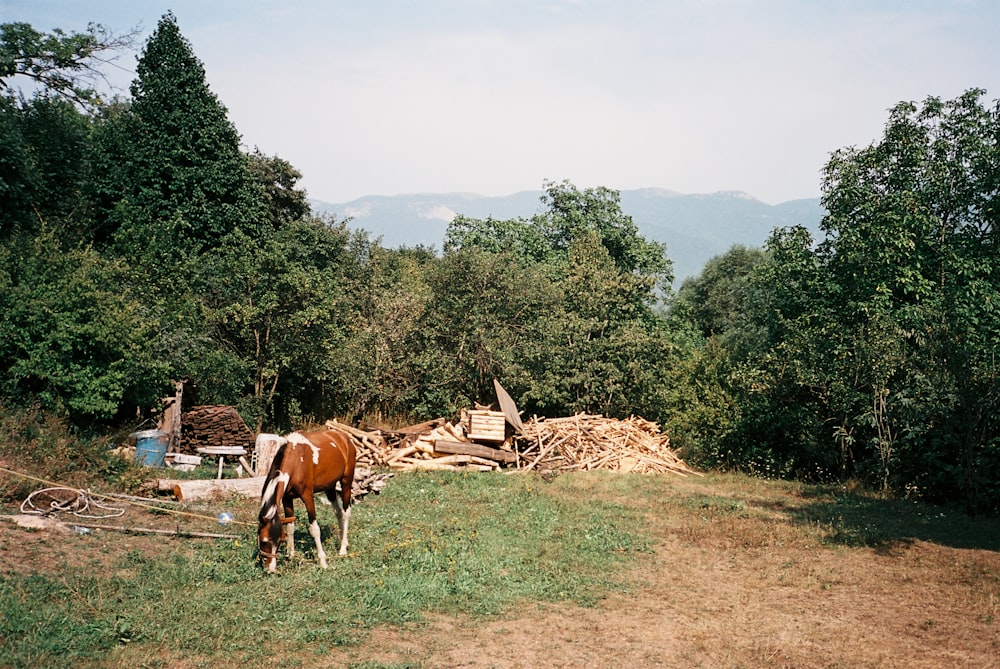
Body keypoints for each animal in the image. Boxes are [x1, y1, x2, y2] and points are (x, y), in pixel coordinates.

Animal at [256, 430, 358, 572]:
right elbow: (290, 527)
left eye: (278, 541)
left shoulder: (308, 497)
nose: (270, 568)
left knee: (346, 513)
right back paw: (343, 539)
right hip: (330, 487)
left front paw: (323, 561)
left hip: (346, 482)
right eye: (263, 540)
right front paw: (290, 555)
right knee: (339, 512)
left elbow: (314, 529)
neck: (296, 461)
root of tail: (345, 438)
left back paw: (343, 549)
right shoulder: (287, 499)